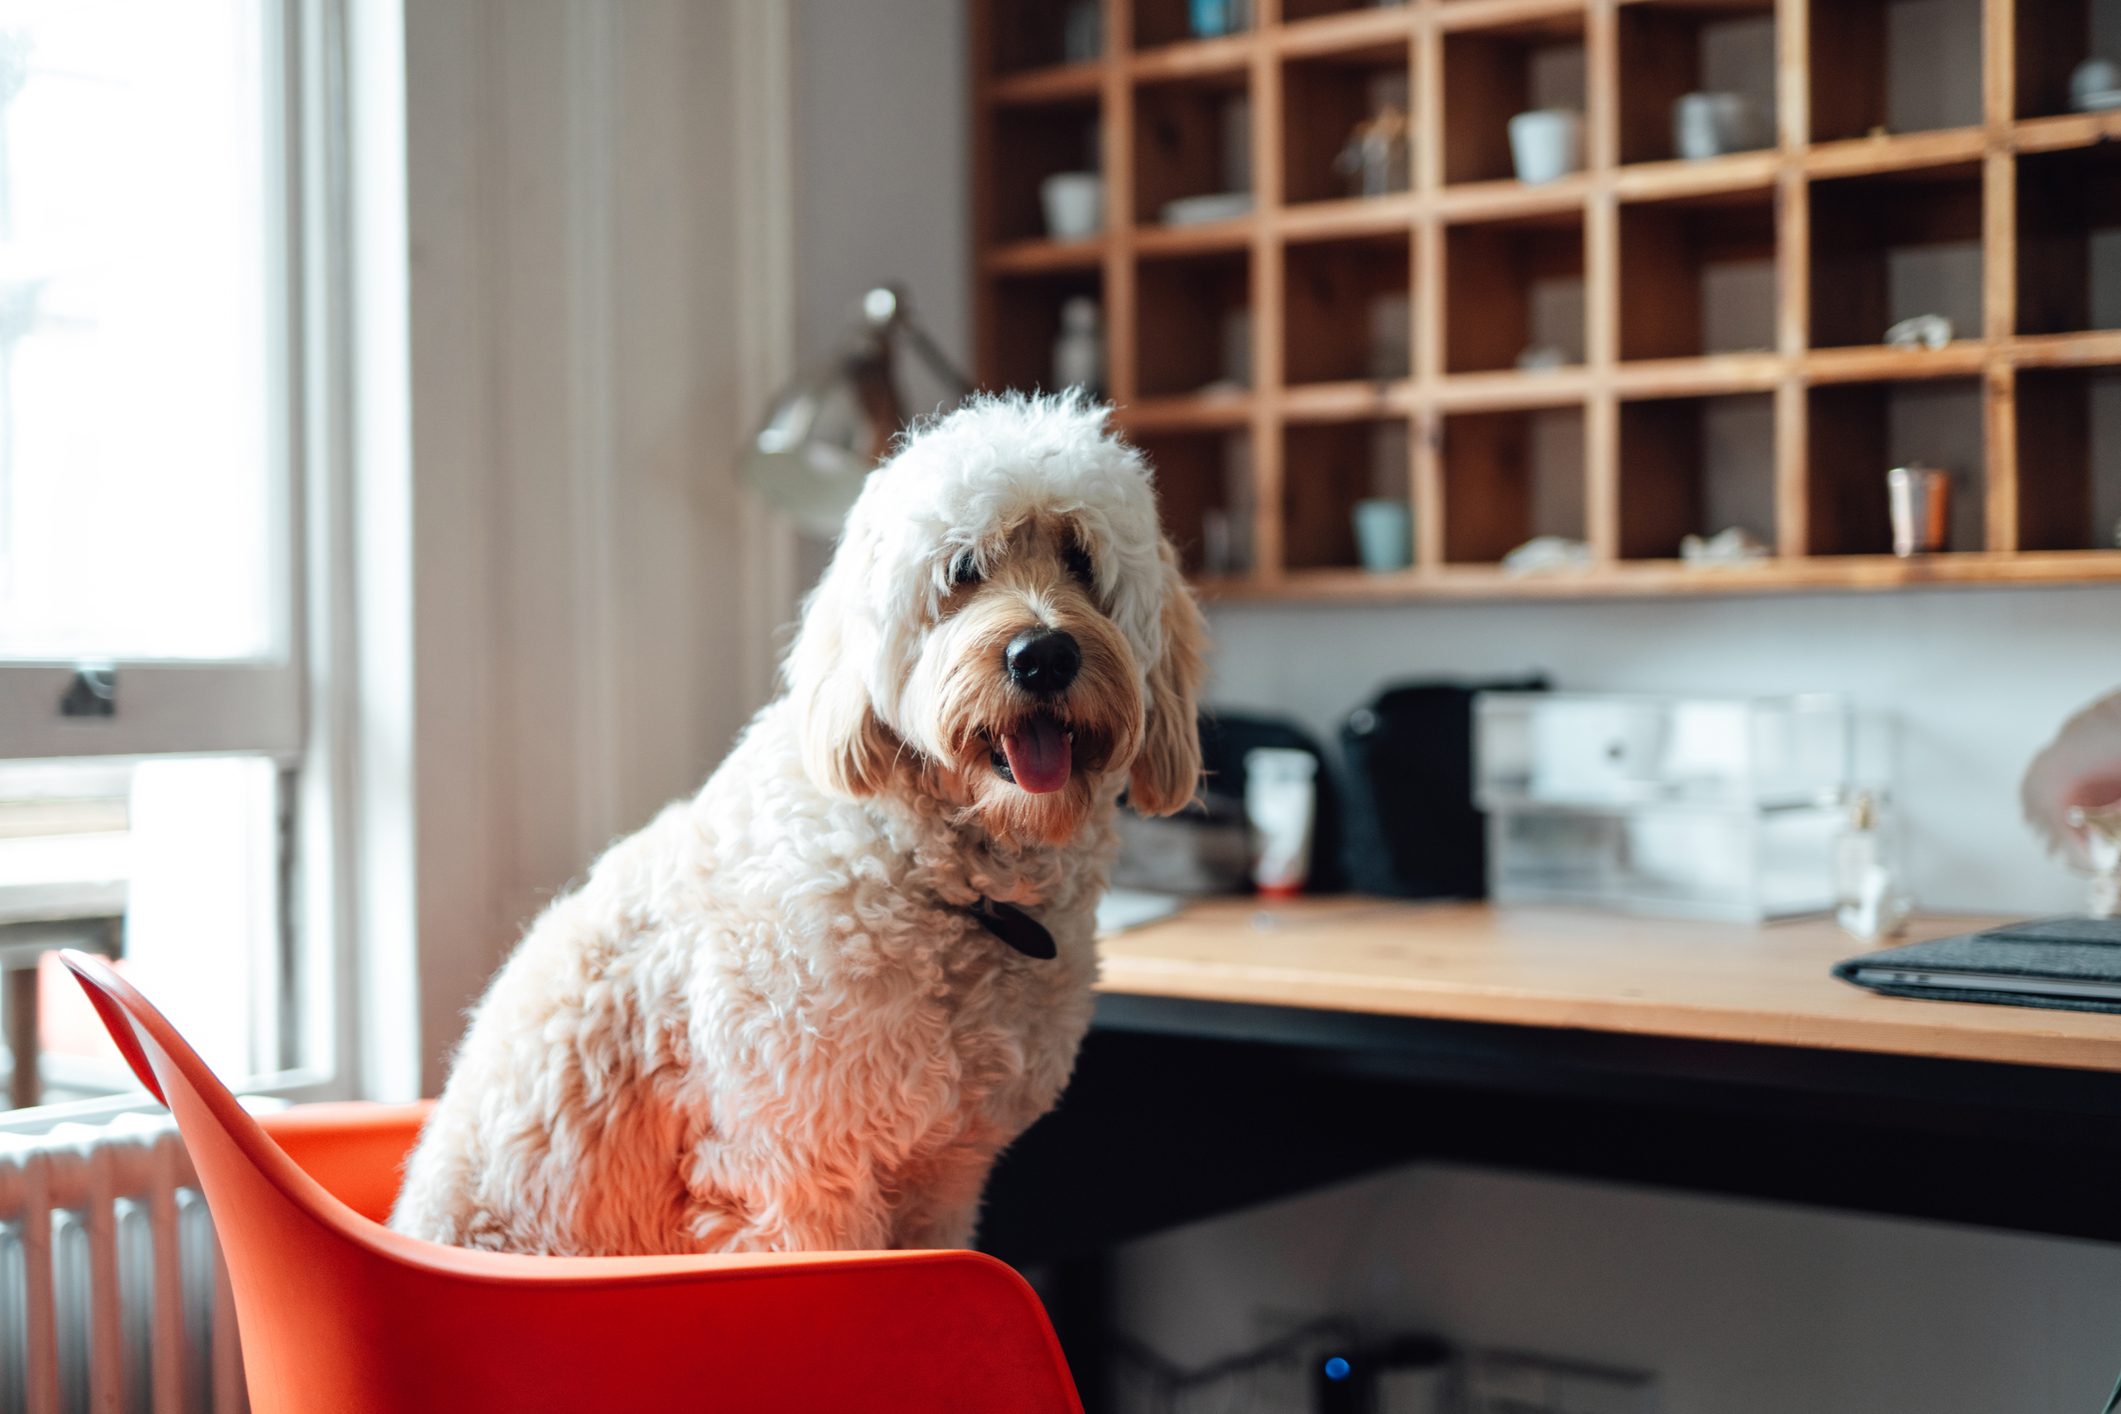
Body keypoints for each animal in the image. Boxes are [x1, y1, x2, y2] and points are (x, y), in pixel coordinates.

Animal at [390, 392, 1204, 1255]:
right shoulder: (794, 1167)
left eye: (1081, 561)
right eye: (963, 570)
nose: (1042, 656)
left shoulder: (944, 1177)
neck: (940, 879)